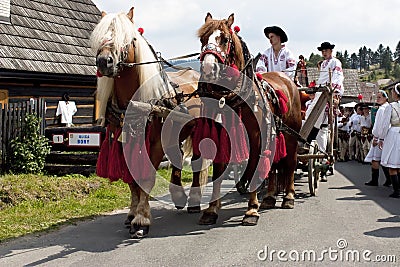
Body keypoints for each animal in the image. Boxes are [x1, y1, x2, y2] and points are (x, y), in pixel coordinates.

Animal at [192, 12, 302, 226]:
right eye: (202, 39)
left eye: (225, 39)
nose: (208, 68)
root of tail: (287, 80)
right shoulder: (221, 135)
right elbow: (219, 170)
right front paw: (211, 209)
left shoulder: (256, 136)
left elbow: (254, 168)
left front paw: (251, 210)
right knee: (273, 165)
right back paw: (269, 197)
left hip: (291, 137)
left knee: (290, 164)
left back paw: (288, 197)